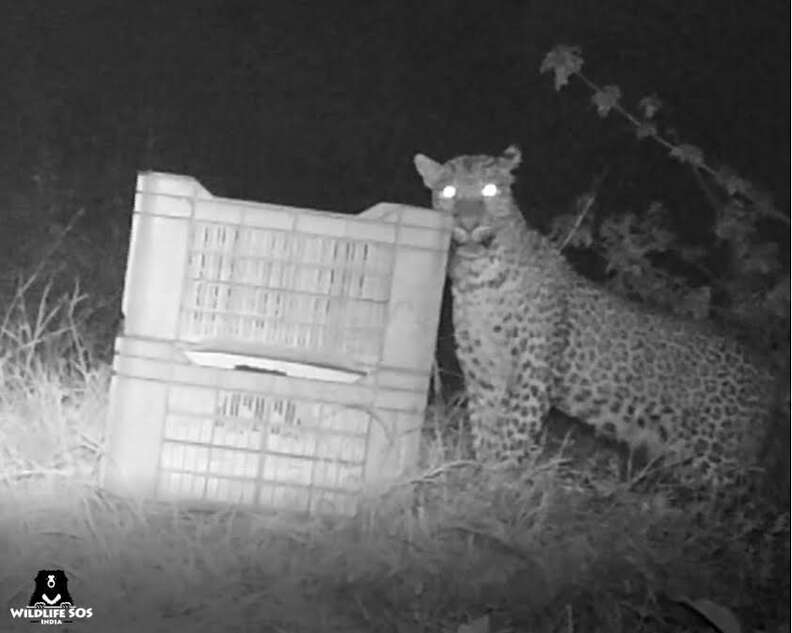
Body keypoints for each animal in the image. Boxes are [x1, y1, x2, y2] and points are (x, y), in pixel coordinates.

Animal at [414, 144, 778, 490]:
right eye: (448, 191)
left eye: (490, 189)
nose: (468, 223)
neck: (478, 278)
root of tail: (768, 376)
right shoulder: (483, 374)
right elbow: (485, 430)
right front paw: (480, 479)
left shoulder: (532, 372)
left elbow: (513, 433)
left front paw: (497, 484)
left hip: (719, 459)